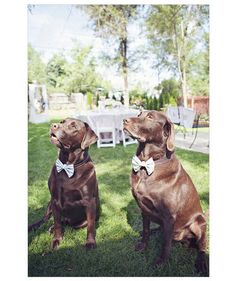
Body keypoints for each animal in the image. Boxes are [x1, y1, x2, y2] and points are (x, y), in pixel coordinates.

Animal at [29, 117, 100, 248]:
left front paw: (90, 242)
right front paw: (57, 240)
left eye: (73, 127)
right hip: (49, 204)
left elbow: (91, 225)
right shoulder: (55, 200)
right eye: (62, 122)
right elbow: (57, 222)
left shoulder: (89, 201)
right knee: (46, 220)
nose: (53, 125)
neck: (68, 165)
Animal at [123, 110, 208, 274]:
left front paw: (161, 263)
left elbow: (165, 244)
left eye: (150, 116)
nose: (124, 120)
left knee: (201, 245)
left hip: (200, 222)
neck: (147, 164)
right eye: (139, 113)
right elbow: (146, 230)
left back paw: (201, 262)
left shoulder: (169, 216)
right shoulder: (144, 209)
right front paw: (143, 245)